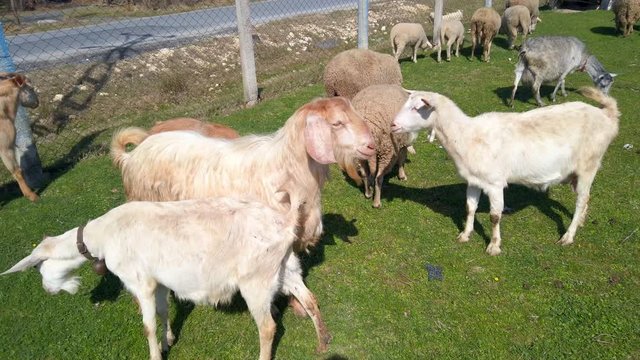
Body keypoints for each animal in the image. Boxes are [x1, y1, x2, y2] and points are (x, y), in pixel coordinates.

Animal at [1, 194, 318, 360]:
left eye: (37, 267)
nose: (48, 291)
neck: (104, 235)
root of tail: (286, 221)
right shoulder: (162, 281)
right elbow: (164, 311)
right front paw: (169, 340)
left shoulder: (140, 281)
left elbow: (147, 325)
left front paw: (155, 352)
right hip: (286, 266)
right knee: (308, 299)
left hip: (256, 279)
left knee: (267, 326)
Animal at [390, 87, 620, 256]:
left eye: (416, 108)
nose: (392, 125)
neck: (466, 136)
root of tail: (607, 115)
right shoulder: (473, 180)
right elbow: (470, 208)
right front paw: (465, 234)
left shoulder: (494, 183)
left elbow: (494, 216)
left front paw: (493, 246)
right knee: (585, 199)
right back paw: (580, 222)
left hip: (589, 165)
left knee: (581, 200)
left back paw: (568, 236)